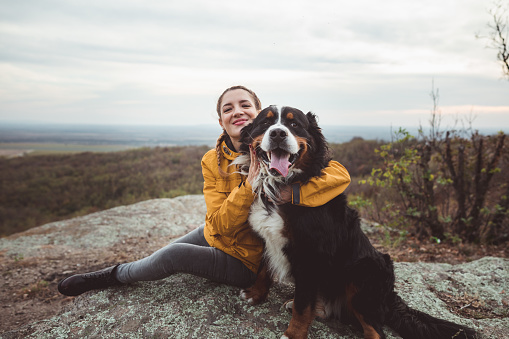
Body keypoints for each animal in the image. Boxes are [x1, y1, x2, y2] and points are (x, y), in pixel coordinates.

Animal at [233, 105, 472, 338]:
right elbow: (264, 270)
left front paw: (293, 334)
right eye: (266, 122)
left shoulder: (310, 255)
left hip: (363, 276)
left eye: (294, 124)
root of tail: (389, 298)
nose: (278, 133)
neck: (281, 185)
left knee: (375, 330)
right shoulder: (267, 239)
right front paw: (255, 294)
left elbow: (302, 307)